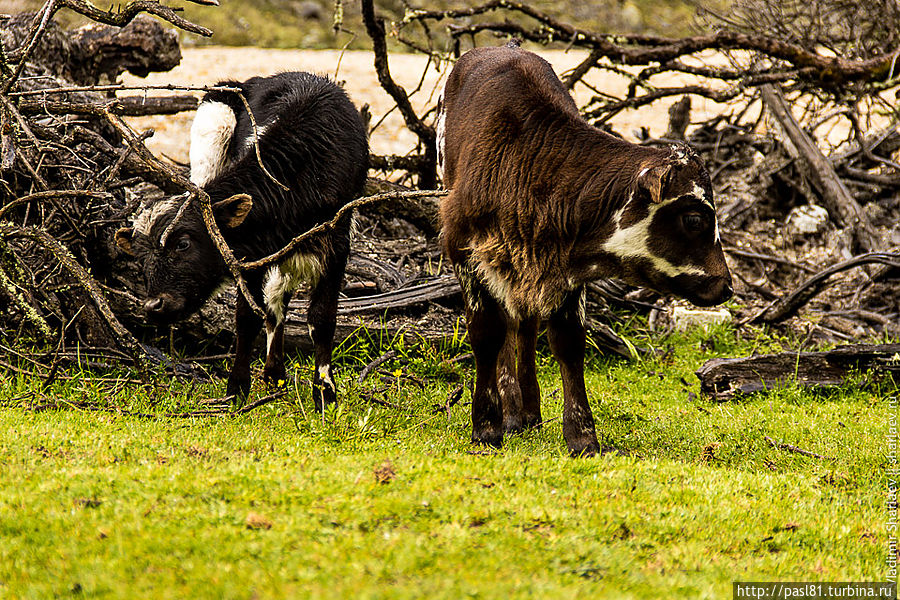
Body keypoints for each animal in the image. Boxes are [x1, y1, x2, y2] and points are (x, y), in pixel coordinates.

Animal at [440, 43, 736, 454]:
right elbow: (486, 334)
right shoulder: (465, 252)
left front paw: (581, 435)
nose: (725, 285)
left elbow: (568, 343)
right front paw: (485, 426)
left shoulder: (566, 273)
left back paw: (525, 411)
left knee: (524, 326)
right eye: (694, 220)